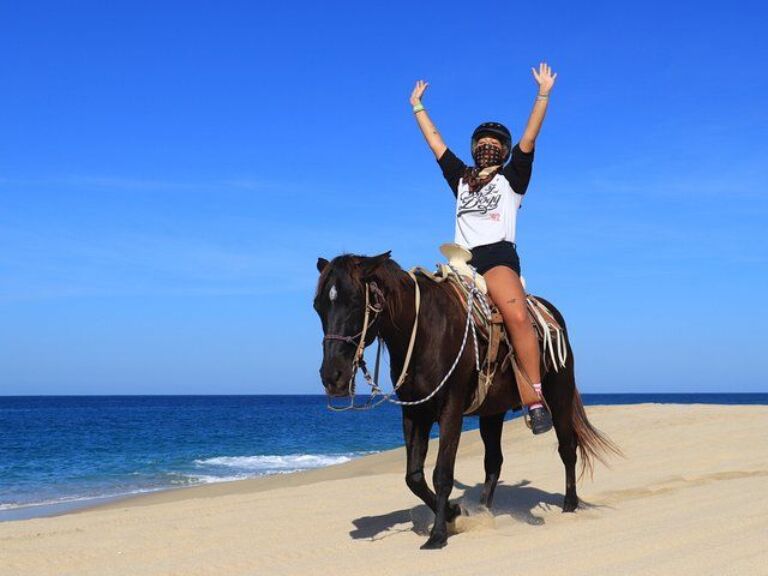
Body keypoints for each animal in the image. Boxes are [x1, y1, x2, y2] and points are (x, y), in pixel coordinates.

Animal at [312, 251, 616, 548]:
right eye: (318, 306)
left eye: (355, 301)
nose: (332, 377)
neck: (424, 331)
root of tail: (552, 315)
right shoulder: (415, 413)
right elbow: (414, 476)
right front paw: (454, 513)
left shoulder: (451, 409)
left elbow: (442, 473)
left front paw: (438, 535)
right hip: (492, 413)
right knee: (494, 461)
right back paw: (484, 510)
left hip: (559, 395)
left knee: (567, 448)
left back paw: (569, 504)